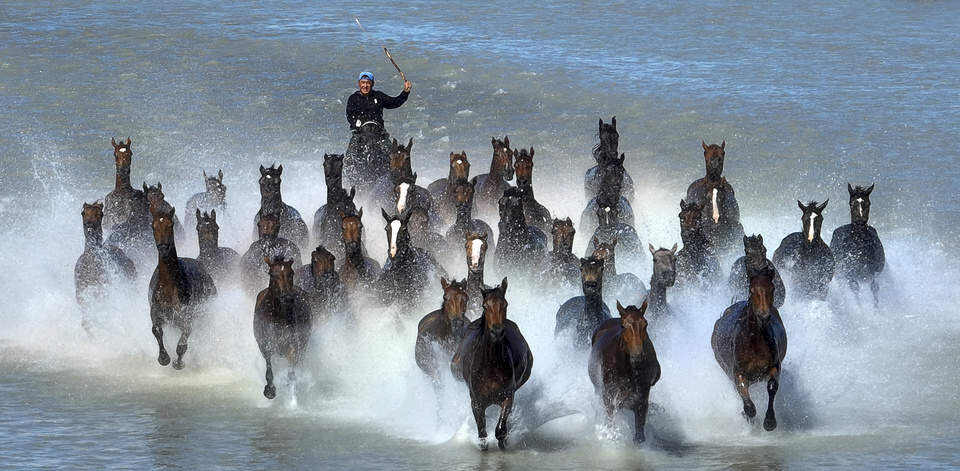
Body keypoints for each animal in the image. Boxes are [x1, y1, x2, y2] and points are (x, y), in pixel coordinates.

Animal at [148, 203, 217, 370]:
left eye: (170, 224)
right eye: (153, 225)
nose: (163, 248)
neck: (169, 287)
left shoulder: (187, 318)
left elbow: (182, 344)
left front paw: (178, 363)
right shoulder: (155, 312)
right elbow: (156, 330)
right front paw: (163, 358)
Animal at [254, 256, 312, 399]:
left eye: (291, 273)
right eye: (272, 274)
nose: (287, 297)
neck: (278, 317)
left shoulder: (293, 345)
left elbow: (291, 371)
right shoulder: (265, 344)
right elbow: (269, 366)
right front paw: (269, 391)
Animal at [451, 278, 533, 450]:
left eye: (505, 304)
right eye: (485, 306)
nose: (497, 331)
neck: (491, 364)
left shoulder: (507, 396)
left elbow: (500, 430)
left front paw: (504, 440)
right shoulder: (476, 402)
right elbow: (482, 433)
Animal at [588, 300, 660, 444]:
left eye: (645, 323)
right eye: (623, 325)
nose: (637, 356)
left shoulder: (641, 399)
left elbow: (639, 435)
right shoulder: (609, 397)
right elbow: (611, 423)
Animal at [711, 269, 787, 431]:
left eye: (772, 288)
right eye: (752, 290)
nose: (764, 316)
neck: (755, 342)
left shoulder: (774, 365)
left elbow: (772, 386)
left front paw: (769, 422)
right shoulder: (738, 372)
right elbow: (743, 391)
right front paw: (749, 413)